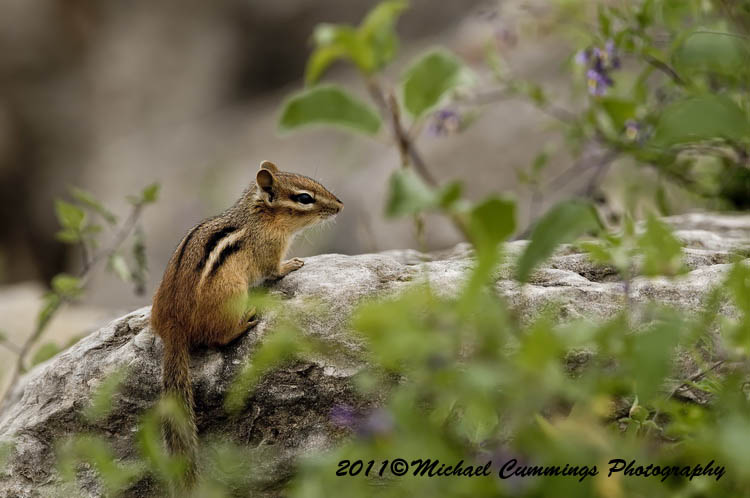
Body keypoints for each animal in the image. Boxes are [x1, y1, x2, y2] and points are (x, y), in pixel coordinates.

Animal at [150, 160, 342, 485]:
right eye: (304, 198)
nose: (340, 205)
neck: (258, 216)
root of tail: (173, 325)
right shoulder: (270, 250)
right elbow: (274, 271)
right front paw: (293, 265)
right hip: (233, 294)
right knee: (218, 337)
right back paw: (246, 321)